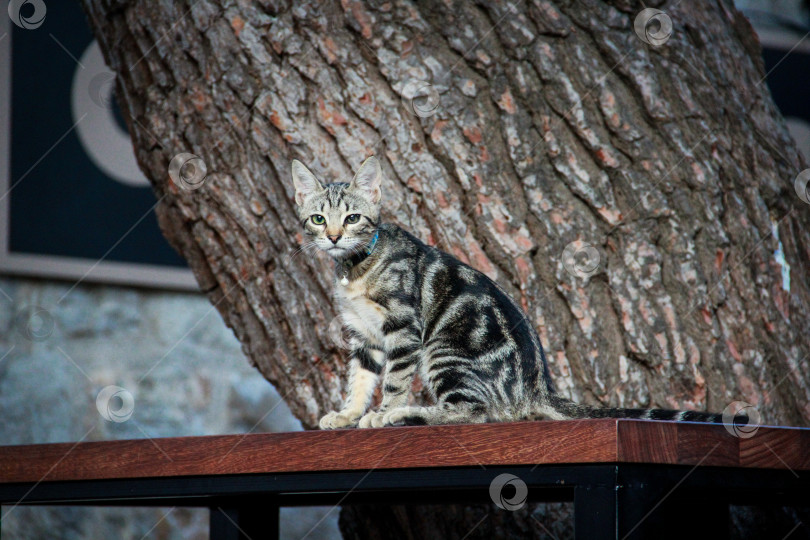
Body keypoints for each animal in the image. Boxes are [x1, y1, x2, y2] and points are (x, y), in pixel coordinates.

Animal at [294, 156, 740, 430]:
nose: (333, 237)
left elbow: (394, 379)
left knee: (475, 412)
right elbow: (360, 377)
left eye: (353, 218)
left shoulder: (403, 327)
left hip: (443, 349)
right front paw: (348, 414)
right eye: (317, 219)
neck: (355, 267)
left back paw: (407, 414)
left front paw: (382, 412)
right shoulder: (363, 334)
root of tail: (534, 389)